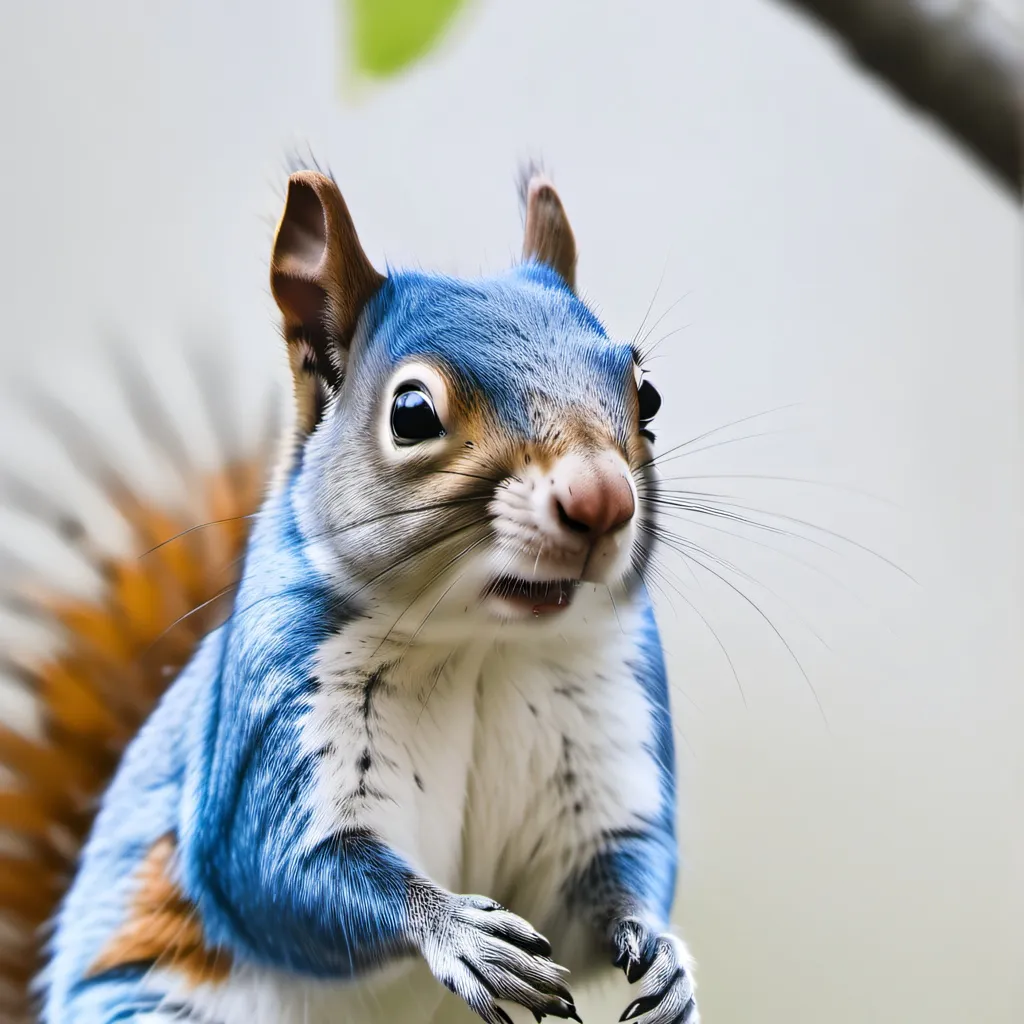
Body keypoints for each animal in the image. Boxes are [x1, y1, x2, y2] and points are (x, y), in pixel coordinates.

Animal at [0, 166, 698, 1024]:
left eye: (649, 395)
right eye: (411, 412)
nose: (601, 501)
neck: (482, 645)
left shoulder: (601, 736)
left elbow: (604, 881)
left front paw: (664, 952)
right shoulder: (276, 721)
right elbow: (281, 874)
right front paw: (455, 928)